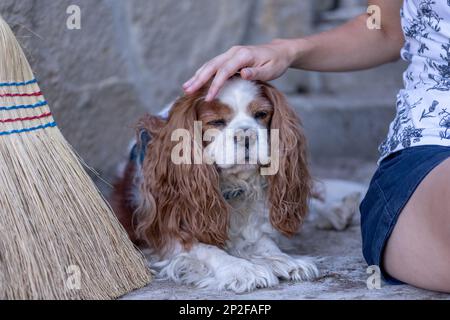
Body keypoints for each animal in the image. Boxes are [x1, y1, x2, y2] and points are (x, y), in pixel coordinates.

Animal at [111, 77, 320, 292]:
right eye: (216, 122)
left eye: (261, 114)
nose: (247, 135)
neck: (231, 186)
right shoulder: (168, 230)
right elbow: (207, 250)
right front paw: (242, 269)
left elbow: (262, 242)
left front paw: (284, 259)